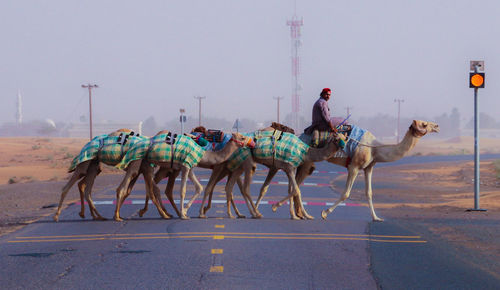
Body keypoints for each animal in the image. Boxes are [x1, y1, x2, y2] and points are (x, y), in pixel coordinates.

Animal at [114, 132, 254, 220]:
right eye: (242, 137)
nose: (252, 143)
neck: (203, 153)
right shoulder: (185, 166)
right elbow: (183, 190)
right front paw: (183, 214)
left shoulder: (189, 167)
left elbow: (199, 187)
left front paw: (186, 211)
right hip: (138, 160)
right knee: (127, 184)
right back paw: (118, 216)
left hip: (146, 163)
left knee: (144, 186)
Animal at [270, 120, 438, 222]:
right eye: (424, 124)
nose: (436, 126)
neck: (375, 148)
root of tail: (298, 136)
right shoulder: (354, 166)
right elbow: (346, 193)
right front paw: (325, 213)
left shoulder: (369, 168)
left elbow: (369, 193)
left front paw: (376, 218)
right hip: (305, 162)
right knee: (295, 186)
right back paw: (291, 213)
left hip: (306, 164)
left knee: (295, 185)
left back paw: (300, 215)